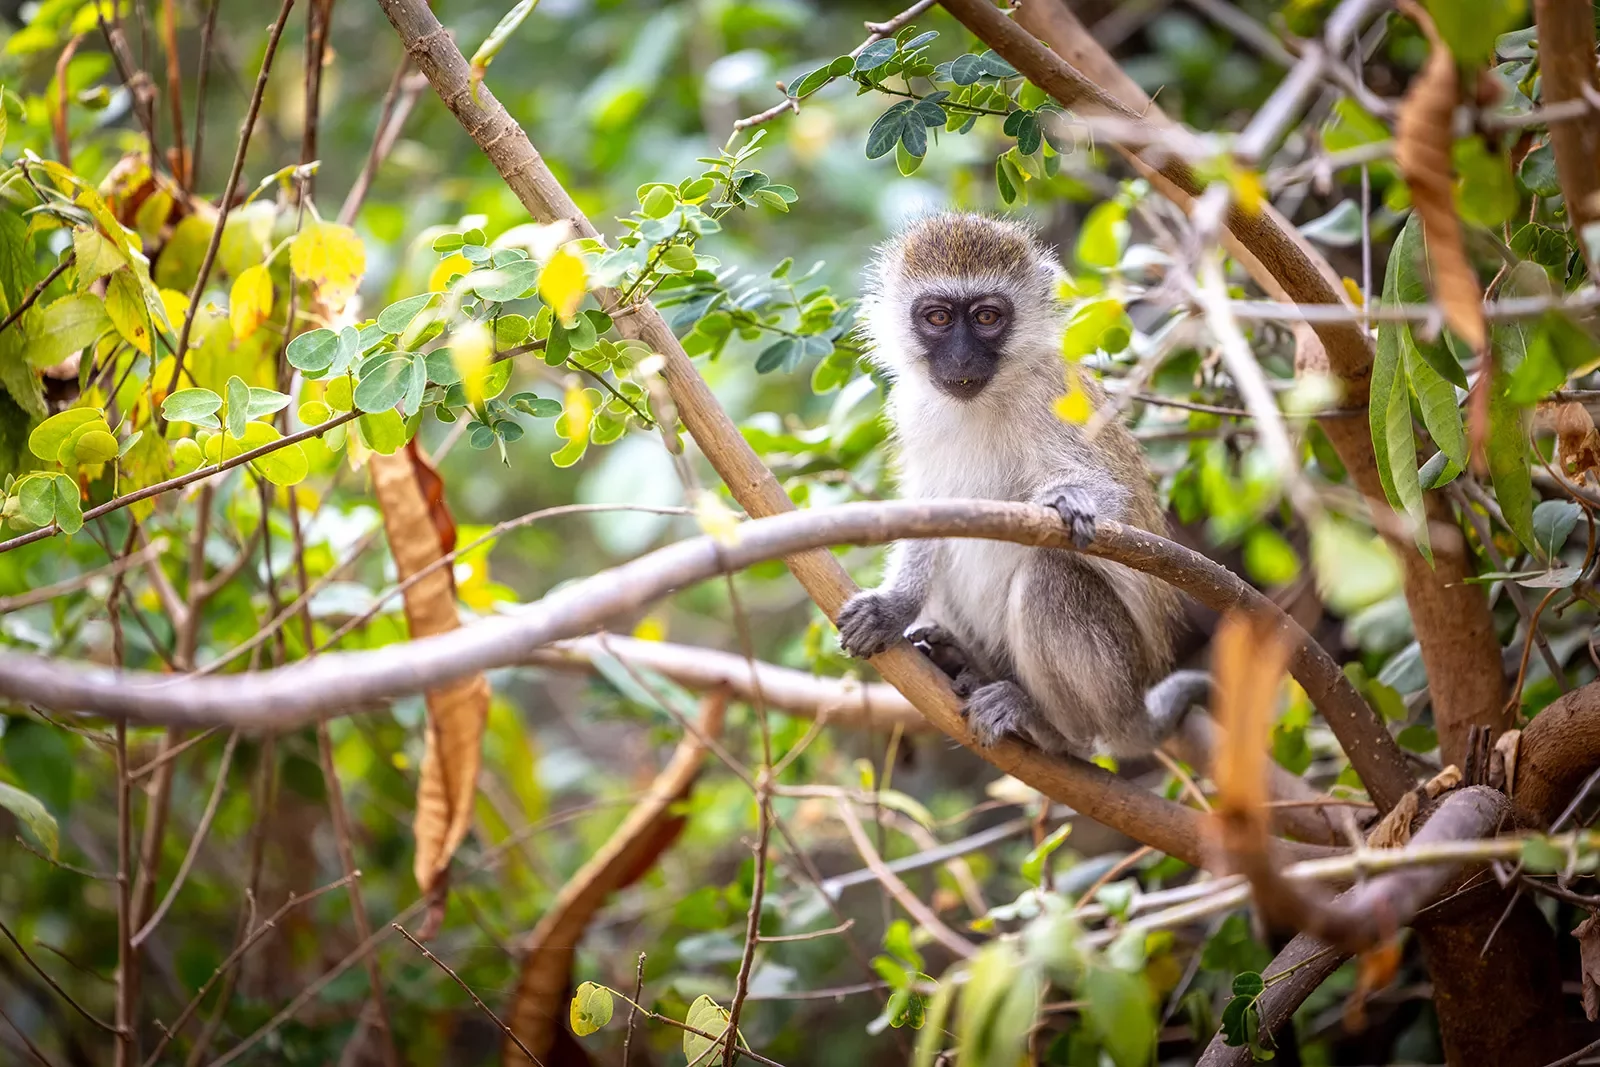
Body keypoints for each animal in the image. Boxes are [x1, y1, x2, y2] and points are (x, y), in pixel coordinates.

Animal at [838, 211, 1203, 758]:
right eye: (938, 318)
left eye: (987, 318)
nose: (962, 360)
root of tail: (1135, 709)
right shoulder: (912, 407)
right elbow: (928, 512)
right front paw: (894, 606)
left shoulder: (1050, 395)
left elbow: (1113, 499)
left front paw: (1071, 500)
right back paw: (968, 665)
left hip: (1119, 678)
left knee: (1050, 574)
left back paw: (1049, 727)